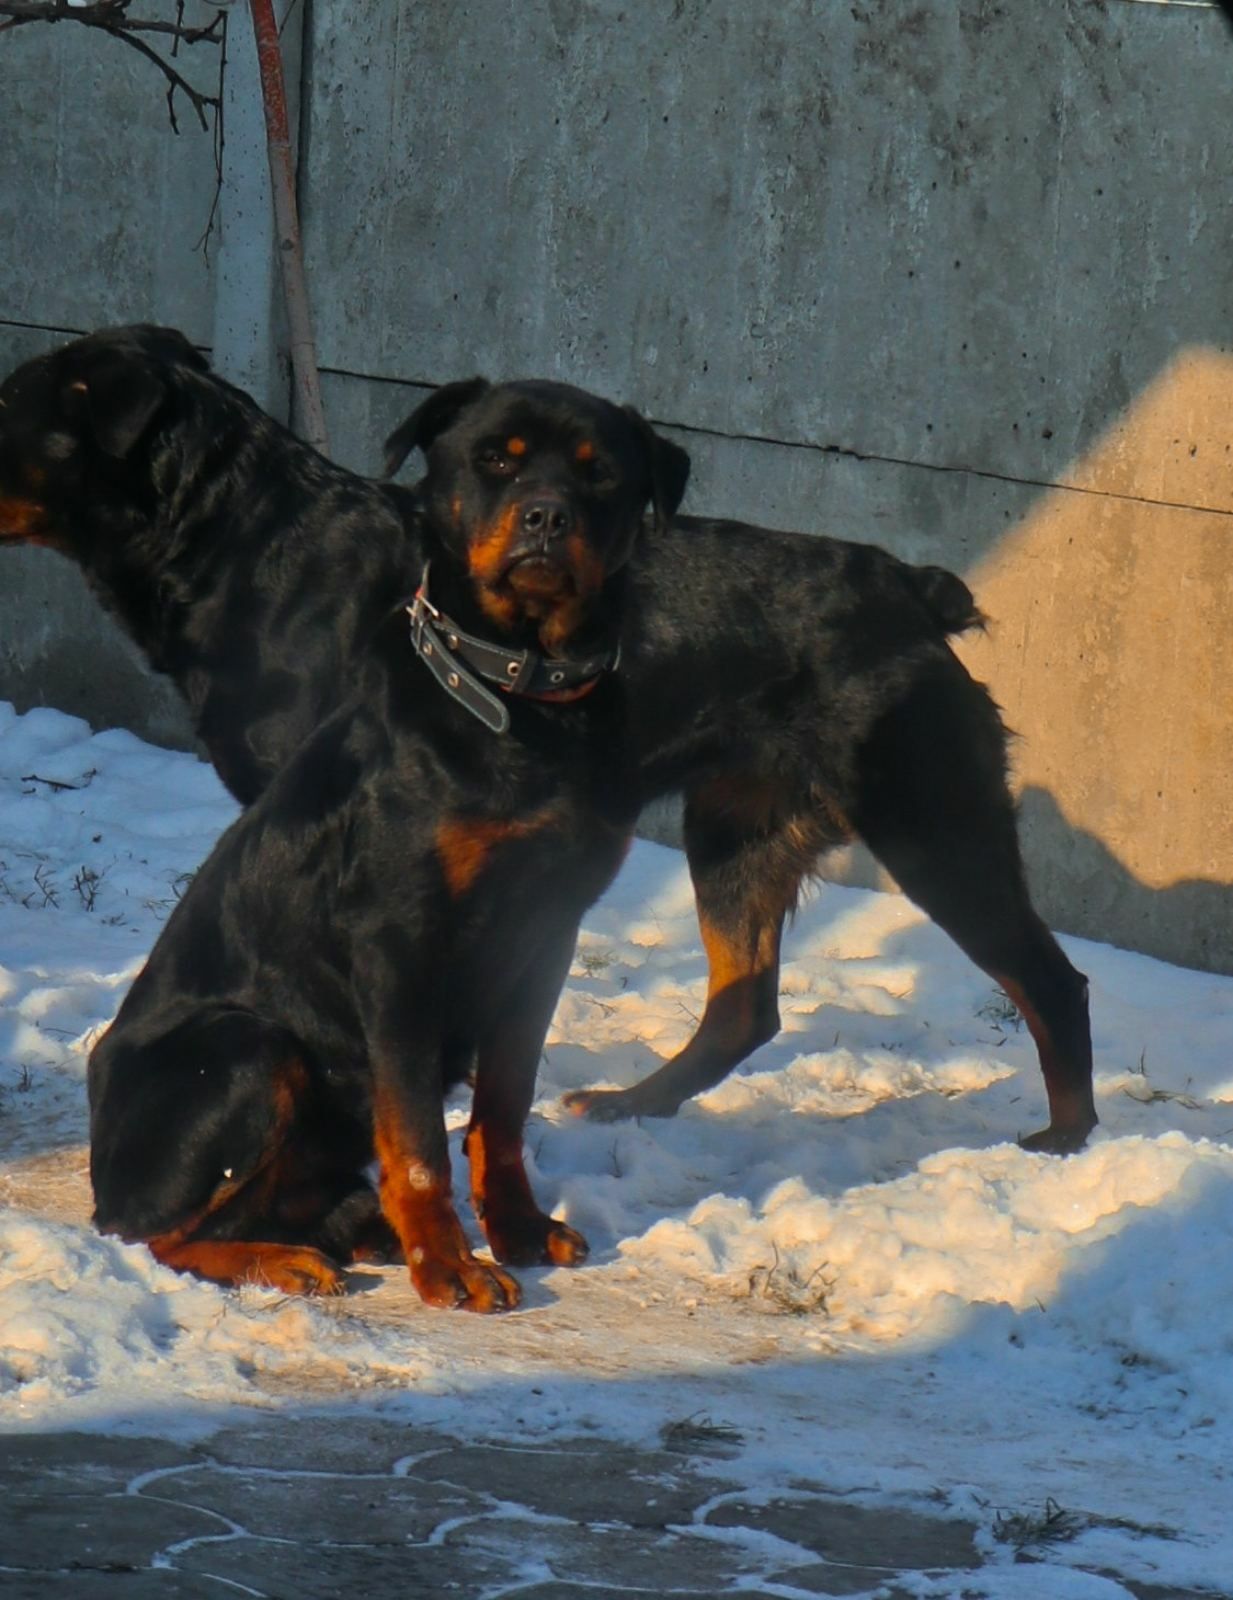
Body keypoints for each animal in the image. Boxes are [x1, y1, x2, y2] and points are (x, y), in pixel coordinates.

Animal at [87, 380, 694, 1305]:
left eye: (600, 473)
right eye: (495, 459)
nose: (546, 516)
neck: (523, 701)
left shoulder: (547, 932)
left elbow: (501, 1107)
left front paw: (517, 1230)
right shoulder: (399, 938)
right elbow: (413, 1137)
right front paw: (448, 1264)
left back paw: (343, 1230)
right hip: (246, 1048)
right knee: (159, 1234)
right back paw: (286, 1259)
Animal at [388, 395, 1100, 1158]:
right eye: (491, 459)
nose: (546, 518)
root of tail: (908, 588)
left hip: (933, 830)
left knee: (1052, 981)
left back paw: (1064, 1137)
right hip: (738, 835)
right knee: (745, 1008)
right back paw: (634, 1102)